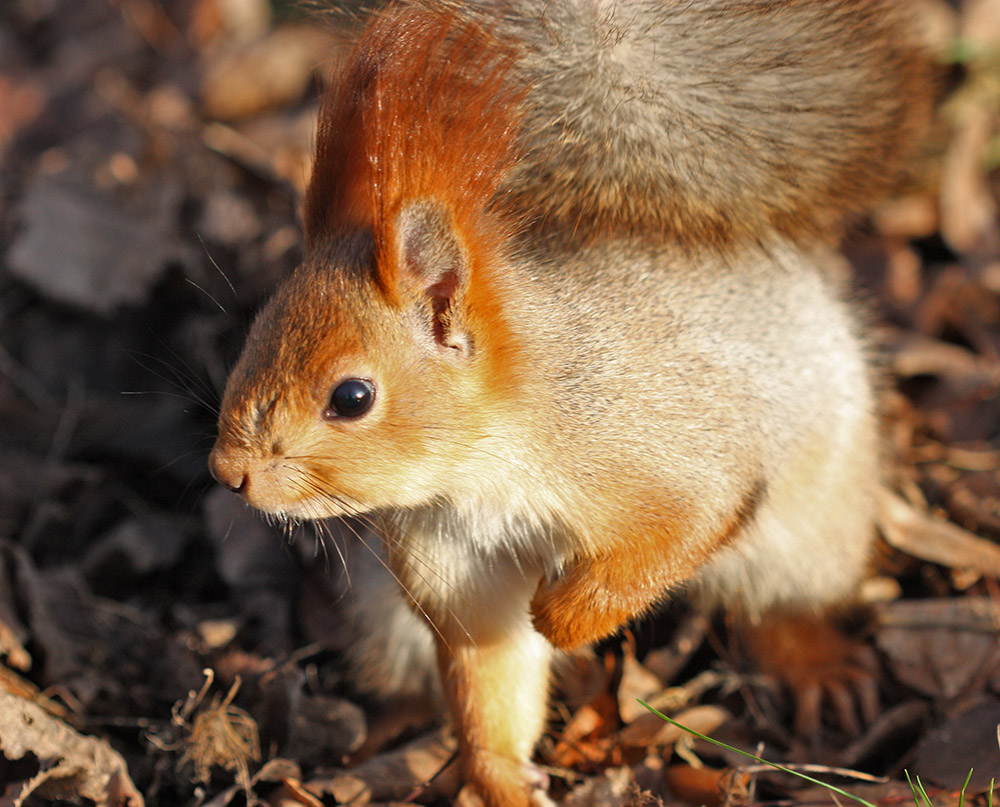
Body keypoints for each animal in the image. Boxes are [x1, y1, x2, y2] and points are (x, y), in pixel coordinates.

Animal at [207, 3, 932, 804]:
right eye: (253, 337)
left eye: (352, 397)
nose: (228, 471)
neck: (486, 462)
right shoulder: (457, 560)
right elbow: (490, 667)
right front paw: (501, 776)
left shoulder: (660, 452)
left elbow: (681, 531)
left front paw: (565, 616)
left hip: (814, 530)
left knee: (779, 605)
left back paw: (810, 659)